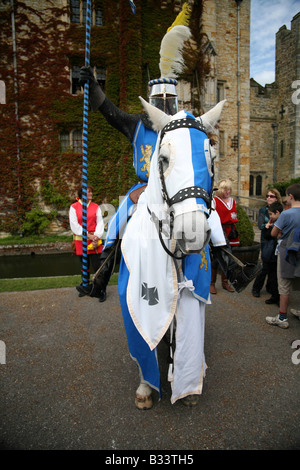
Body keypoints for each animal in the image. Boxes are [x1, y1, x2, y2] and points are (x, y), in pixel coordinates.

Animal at [117, 99, 225, 408]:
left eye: (212, 159)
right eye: (163, 159)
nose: (193, 233)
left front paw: (189, 382)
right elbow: (143, 343)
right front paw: (146, 387)